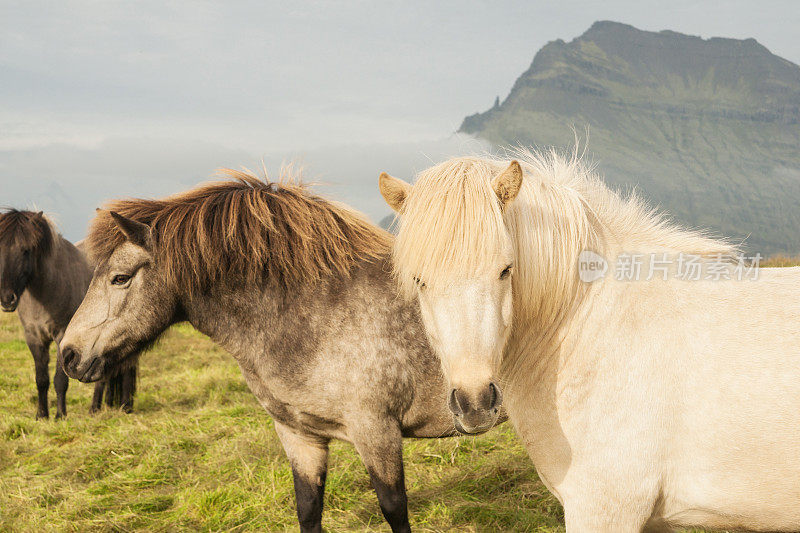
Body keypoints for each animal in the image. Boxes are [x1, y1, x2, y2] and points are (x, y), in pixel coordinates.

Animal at [0, 210, 140, 418]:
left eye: (26, 250)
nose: (7, 299)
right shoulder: (34, 338)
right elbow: (41, 379)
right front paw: (42, 415)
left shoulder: (62, 337)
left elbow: (60, 380)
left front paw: (60, 415)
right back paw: (103, 406)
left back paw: (120, 407)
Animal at [61, 171, 500, 532]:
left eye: (119, 278)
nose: (68, 355)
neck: (317, 317)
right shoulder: (299, 436)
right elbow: (308, 509)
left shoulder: (376, 432)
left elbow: (394, 510)